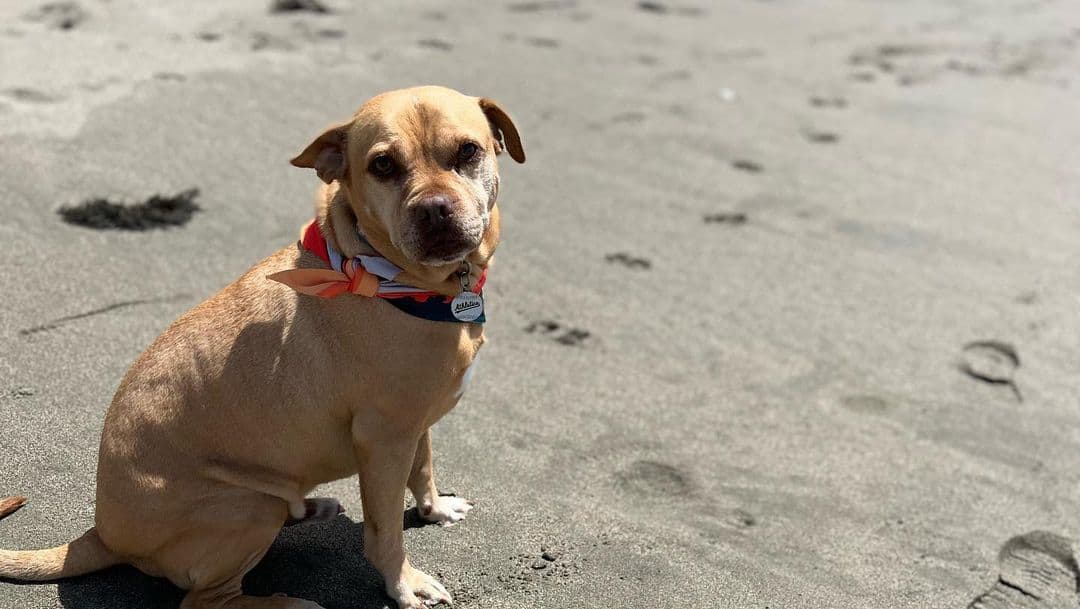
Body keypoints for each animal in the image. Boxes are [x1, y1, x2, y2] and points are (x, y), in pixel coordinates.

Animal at [0, 85, 522, 609]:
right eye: (383, 165)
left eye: (467, 151)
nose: (433, 209)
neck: (394, 279)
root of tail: (103, 535)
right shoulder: (385, 438)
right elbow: (385, 530)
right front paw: (404, 583)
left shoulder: (413, 425)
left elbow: (424, 468)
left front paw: (435, 510)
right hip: (248, 506)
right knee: (206, 599)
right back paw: (287, 601)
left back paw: (312, 507)